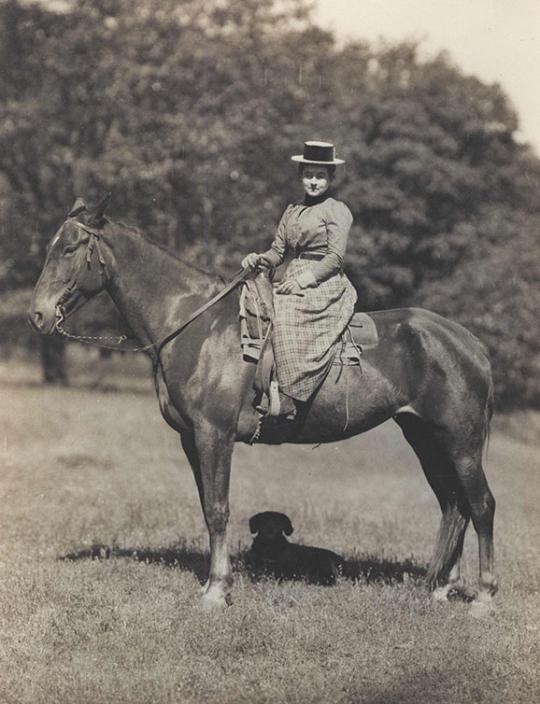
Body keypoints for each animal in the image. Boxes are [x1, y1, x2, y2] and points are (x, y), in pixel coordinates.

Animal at [27, 198, 496, 612]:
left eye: (69, 248)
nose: (38, 315)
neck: (197, 326)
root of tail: (470, 342)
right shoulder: (191, 439)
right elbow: (207, 508)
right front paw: (213, 582)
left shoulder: (214, 433)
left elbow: (218, 509)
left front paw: (217, 591)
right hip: (425, 438)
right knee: (453, 506)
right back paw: (441, 588)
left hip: (460, 444)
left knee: (481, 505)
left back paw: (484, 597)